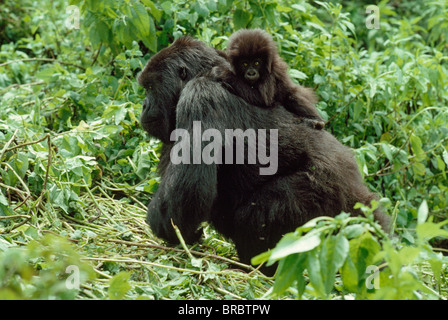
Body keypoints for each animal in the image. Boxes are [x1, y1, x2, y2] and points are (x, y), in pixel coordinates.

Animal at [138, 37, 390, 272]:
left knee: (257, 213)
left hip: (325, 192)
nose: (143, 105)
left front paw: (168, 230)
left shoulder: (199, 97)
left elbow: (190, 188)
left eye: (150, 87)